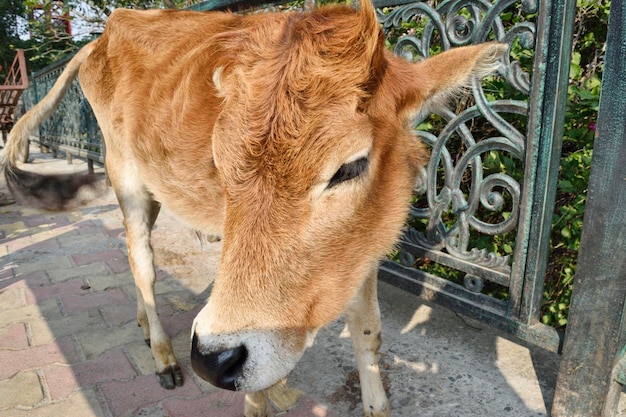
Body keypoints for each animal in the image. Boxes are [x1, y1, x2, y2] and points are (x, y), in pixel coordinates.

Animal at [0, 1, 504, 414]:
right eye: (219, 163)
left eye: (350, 166)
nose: (210, 359)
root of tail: (102, 37)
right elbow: (260, 382)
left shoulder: (361, 253)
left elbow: (368, 330)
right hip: (124, 174)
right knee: (142, 261)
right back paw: (163, 356)